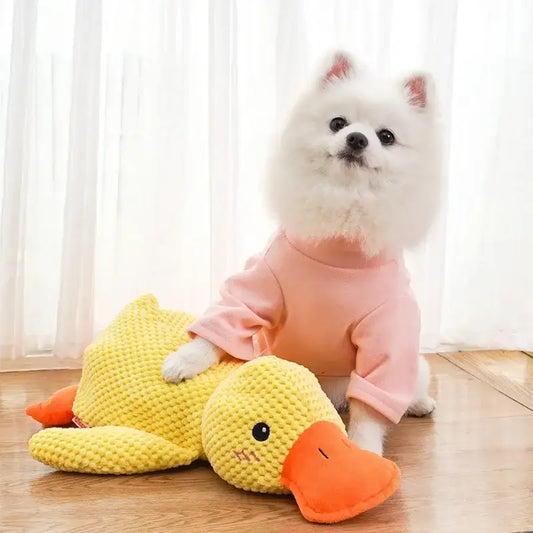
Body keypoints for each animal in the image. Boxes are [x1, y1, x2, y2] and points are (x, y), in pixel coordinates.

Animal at [162, 52, 440, 456]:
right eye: (338, 123)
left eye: (386, 137)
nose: (356, 138)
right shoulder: (258, 285)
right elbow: (221, 326)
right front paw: (184, 361)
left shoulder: (389, 330)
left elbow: (371, 407)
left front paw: (363, 451)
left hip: (415, 366)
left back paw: (419, 403)